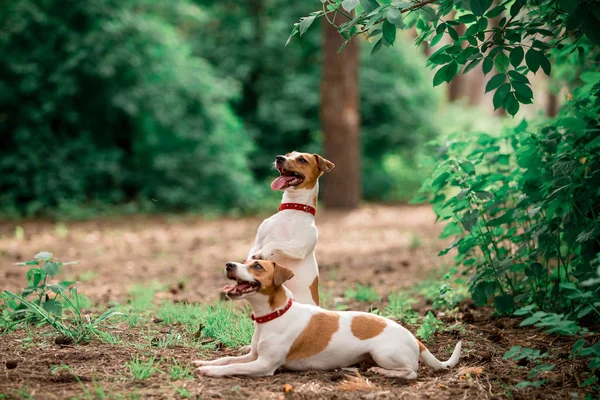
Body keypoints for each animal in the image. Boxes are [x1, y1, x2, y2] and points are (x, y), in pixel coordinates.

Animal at [195, 260, 462, 378]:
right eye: (245, 261)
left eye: (257, 266)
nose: (229, 264)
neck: (273, 315)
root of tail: (415, 339)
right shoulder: (253, 356)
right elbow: (228, 359)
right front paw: (205, 362)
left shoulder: (264, 365)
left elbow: (234, 367)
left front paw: (211, 372)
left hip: (384, 353)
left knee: (410, 372)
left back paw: (381, 372)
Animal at [246, 151, 336, 306]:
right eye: (288, 155)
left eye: (302, 160)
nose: (279, 158)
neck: (292, 210)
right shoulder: (257, 243)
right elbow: (253, 252)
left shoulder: (299, 247)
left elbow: (275, 243)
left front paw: (262, 254)